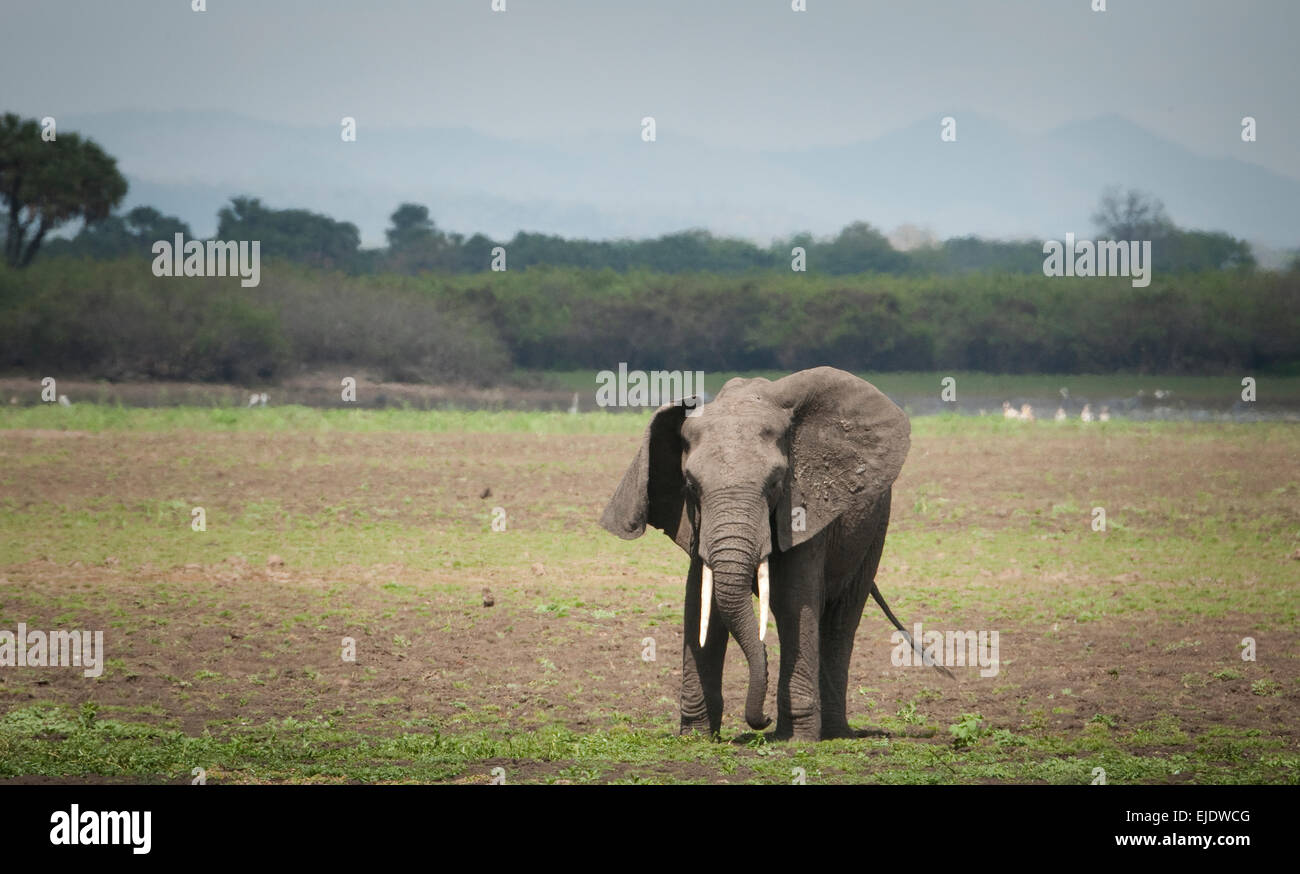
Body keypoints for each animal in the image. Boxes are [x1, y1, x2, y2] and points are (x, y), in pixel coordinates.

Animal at [598, 364, 946, 738]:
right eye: (690, 485)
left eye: (776, 483)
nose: (760, 721)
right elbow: (700, 605)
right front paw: (697, 736)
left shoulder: (806, 510)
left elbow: (793, 601)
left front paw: (795, 740)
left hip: (875, 526)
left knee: (841, 619)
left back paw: (835, 732)